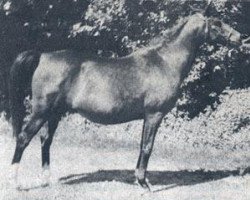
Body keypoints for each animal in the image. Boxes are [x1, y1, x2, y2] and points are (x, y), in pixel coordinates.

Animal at [8, 11, 243, 190]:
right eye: (217, 24)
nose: (240, 37)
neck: (164, 62)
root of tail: (43, 56)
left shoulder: (147, 118)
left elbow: (141, 146)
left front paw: (140, 180)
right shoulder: (154, 115)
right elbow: (147, 147)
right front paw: (144, 184)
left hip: (55, 114)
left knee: (45, 140)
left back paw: (46, 179)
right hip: (41, 111)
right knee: (23, 138)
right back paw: (15, 182)